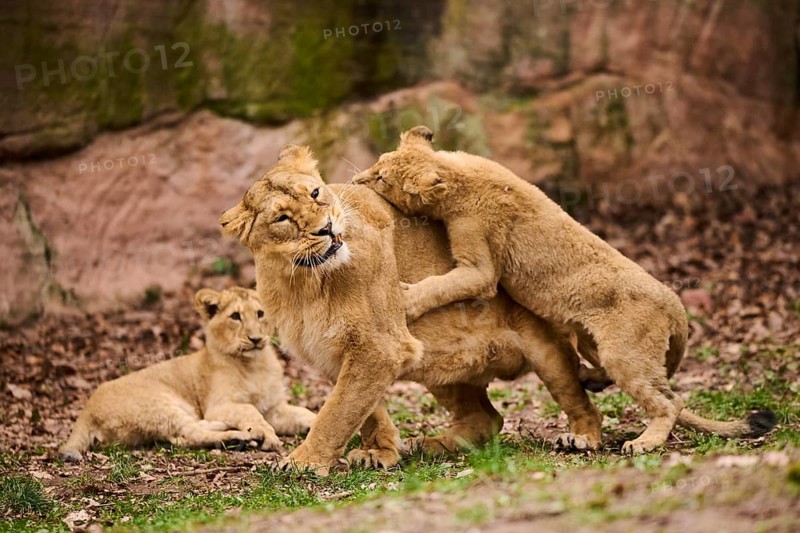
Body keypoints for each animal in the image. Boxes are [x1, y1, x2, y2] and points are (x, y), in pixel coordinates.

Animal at [59, 287, 316, 462]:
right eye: (235, 316)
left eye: (260, 313)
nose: (255, 339)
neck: (255, 365)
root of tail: (87, 410)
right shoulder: (218, 405)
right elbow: (250, 410)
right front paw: (269, 437)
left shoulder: (274, 408)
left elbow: (305, 413)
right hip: (161, 404)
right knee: (191, 433)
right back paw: (239, 438)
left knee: (183, 435)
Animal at [353, 126, 776, 454]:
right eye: (377, 163)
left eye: (382, 179)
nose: (357, 180)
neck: (459, 171)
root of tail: (678, 308)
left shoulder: (480, 268)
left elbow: (446, 284)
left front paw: (406, 299)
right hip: (593, 341)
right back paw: (591, 378)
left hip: (625, 351)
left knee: (668, 401)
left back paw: (641, 442)